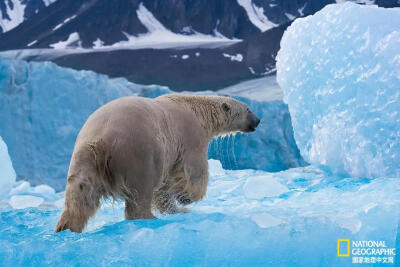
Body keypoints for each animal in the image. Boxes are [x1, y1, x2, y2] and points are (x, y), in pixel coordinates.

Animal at [56, 94, 260, 232]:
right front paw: (185, 198)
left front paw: (178, 206)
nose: (258, 120)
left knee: (80, 194)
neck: (198, 111)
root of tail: (103, 142)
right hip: (139, 153)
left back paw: (67, 226)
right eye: (248, 109)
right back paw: (149, 217)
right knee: (141, 192)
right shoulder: (191, 137)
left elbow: (166, 184)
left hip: (83, 156)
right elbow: (194, 170)